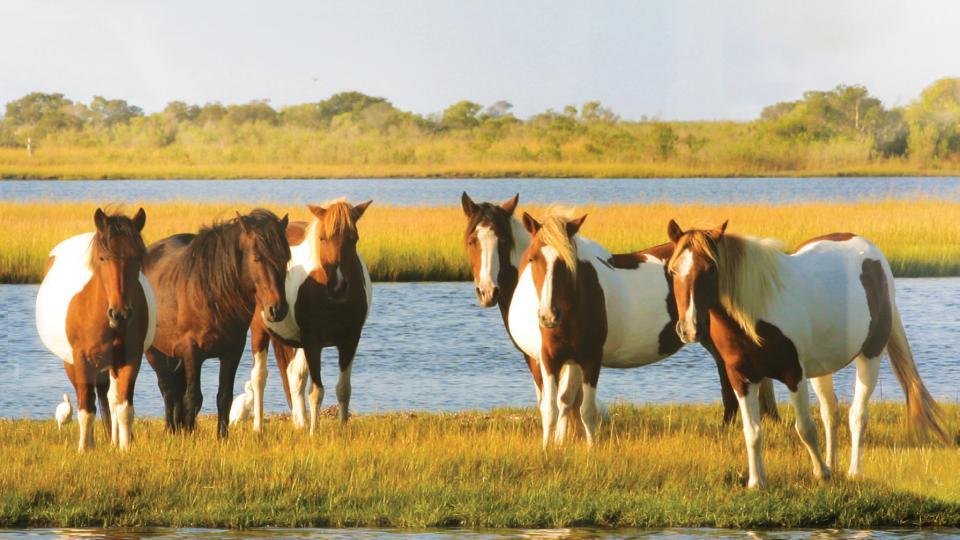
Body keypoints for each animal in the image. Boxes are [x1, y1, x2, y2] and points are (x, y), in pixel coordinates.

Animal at [35, 208, 156, 451]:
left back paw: (113, 440)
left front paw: (125, 448)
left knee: (111, 399)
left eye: (137, 258)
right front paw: (84, 449)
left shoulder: (130, 358)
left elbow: (124, 408)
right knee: (88, 399)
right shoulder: (82, 359)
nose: (120, 314)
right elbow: (86, 409)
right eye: (102, 258)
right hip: (73, 363)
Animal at [144, 209, 290, 438]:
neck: (210, 293)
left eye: (285, 258)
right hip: (154, 351)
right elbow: (193, 398)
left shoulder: (232, 353)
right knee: (168, 389)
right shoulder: (191, 351)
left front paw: (222, 437)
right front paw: (190, 437)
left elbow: (224, 398)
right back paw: (171, 430)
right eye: (257, 258)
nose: (277, 309)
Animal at [249, 199, 372, 433]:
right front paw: (314, 433)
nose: (338, 287)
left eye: (354, 239)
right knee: (259, 378)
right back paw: (259, 427)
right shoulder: (313, 341)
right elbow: (316, 391)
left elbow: (343, 389)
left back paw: (301, 423)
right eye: (322, 238)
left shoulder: (350, 339)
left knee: (294, 375)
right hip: (260, 331)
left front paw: (342, 430)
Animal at [505, 208, 775, 449]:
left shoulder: (591, 359)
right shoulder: (550, 359)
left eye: (568, 261)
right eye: (533, 258)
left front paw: (591, 449)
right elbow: (553, 407)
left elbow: (586, 409)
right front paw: (550, 449)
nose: (548, 315)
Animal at [665, 220, 950, 488]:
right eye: (673, 270)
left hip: (870, 357)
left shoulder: (794, 374)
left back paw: (853, 472)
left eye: (711, 269)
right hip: (821, 369)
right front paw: (757, 482)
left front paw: (820, 473)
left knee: (857, 415)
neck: (757, 313)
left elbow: (805, 428)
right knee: (830, 413)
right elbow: (753, 432)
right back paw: (833, 463)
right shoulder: (742, 379)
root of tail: (873, 254)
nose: (689, 328)